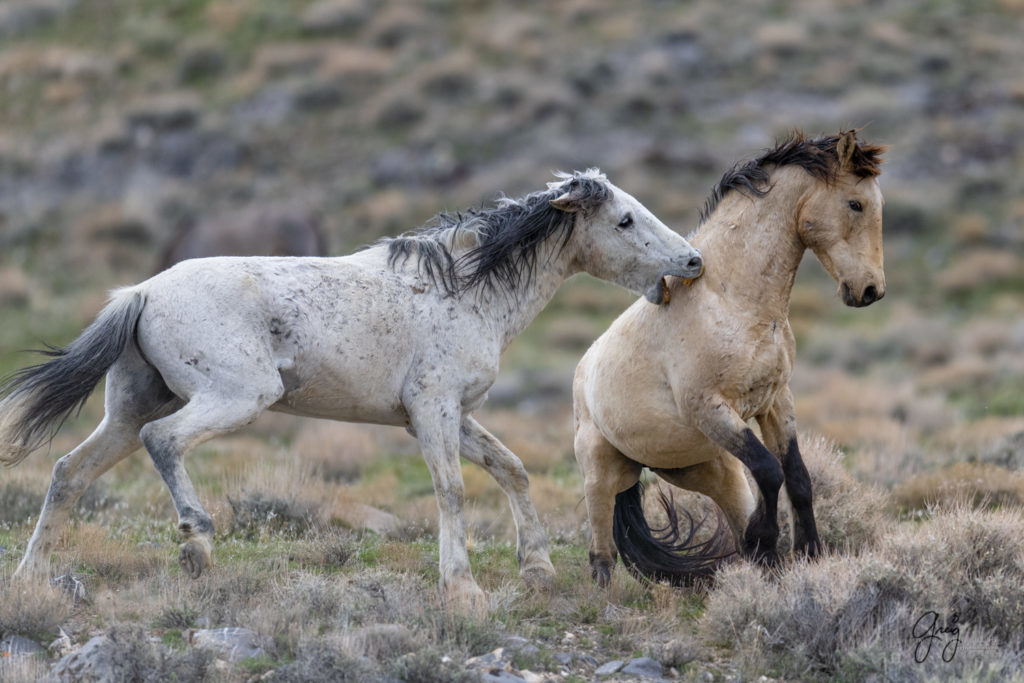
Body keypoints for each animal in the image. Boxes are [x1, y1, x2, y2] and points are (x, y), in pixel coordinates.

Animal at [0, 171, 704, 614]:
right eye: (625, 219)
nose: (693, 262)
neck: (466, 288)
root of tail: (141, 292)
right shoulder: (434, 410)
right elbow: (452, 490)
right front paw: (464, 590)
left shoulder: (443, 416)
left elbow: (512, 469)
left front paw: (538, 569)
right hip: (233, 397)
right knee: (161, 442)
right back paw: (196, 542)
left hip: (132, 408)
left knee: (69, 472)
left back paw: (31, 580)